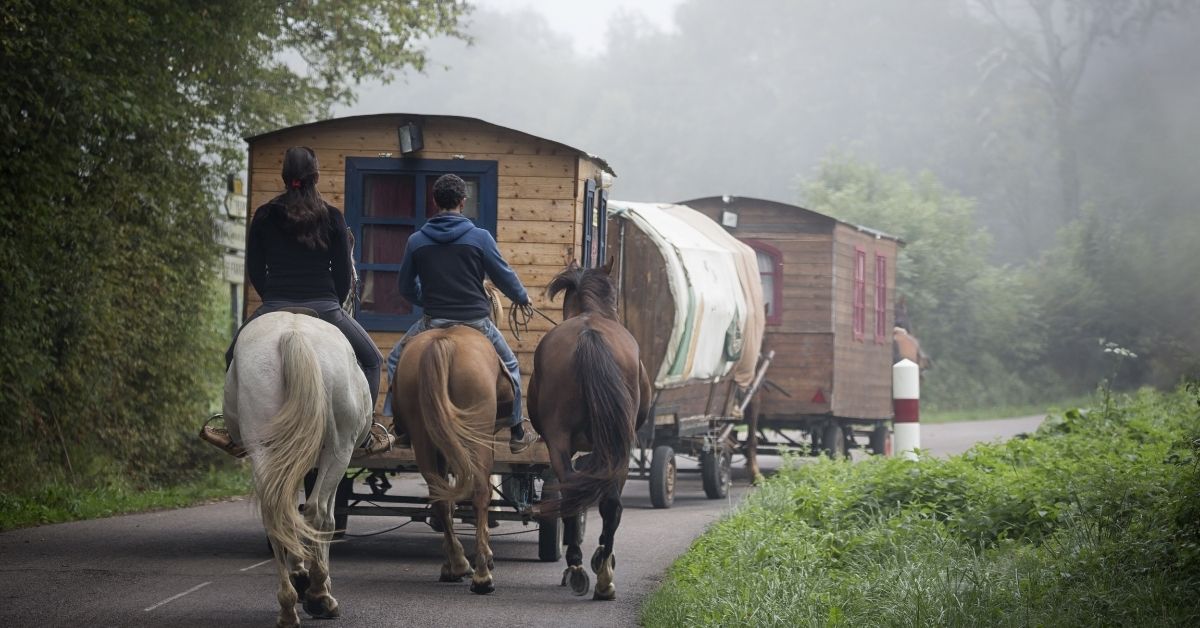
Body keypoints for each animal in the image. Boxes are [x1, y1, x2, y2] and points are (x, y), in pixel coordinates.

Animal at [223, 312, 372, 624]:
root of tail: (293, 333)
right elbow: (323, 517)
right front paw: (315, 584)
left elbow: (291, 511)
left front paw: (299, 573)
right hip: (339, 451)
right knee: (318, 514)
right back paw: (319, 596)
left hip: (264, 448)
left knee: (275, 514)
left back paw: (288, 605)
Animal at [388, 326, 511, 597]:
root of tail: (443, 342)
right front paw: (486, 556)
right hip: (477, 435)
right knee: (480, 492)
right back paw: (482, 576)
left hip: (423, 437)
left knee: (439, 497)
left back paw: (457, 564)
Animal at [530, 259, 652, 600]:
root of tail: (589, 334)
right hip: (617, 446)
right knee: (608, 503)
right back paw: (602, 572)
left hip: (563, 442)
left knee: (575, 491)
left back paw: (578, 567)